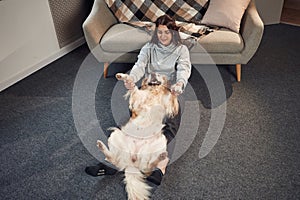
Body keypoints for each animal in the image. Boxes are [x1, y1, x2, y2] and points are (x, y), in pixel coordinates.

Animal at [97, 72, 179, 200]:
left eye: (159, 74)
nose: (153, 74)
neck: (154, 90)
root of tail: (132, 162)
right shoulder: (139, 97)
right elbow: (133, 87)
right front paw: (123, 77)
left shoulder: (167, 104)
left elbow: (172, 98)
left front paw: (176, 88)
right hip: (116, 135)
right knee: (115, 160)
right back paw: (101, 146)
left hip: (160, 141)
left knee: (148, 168)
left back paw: (161, 156)